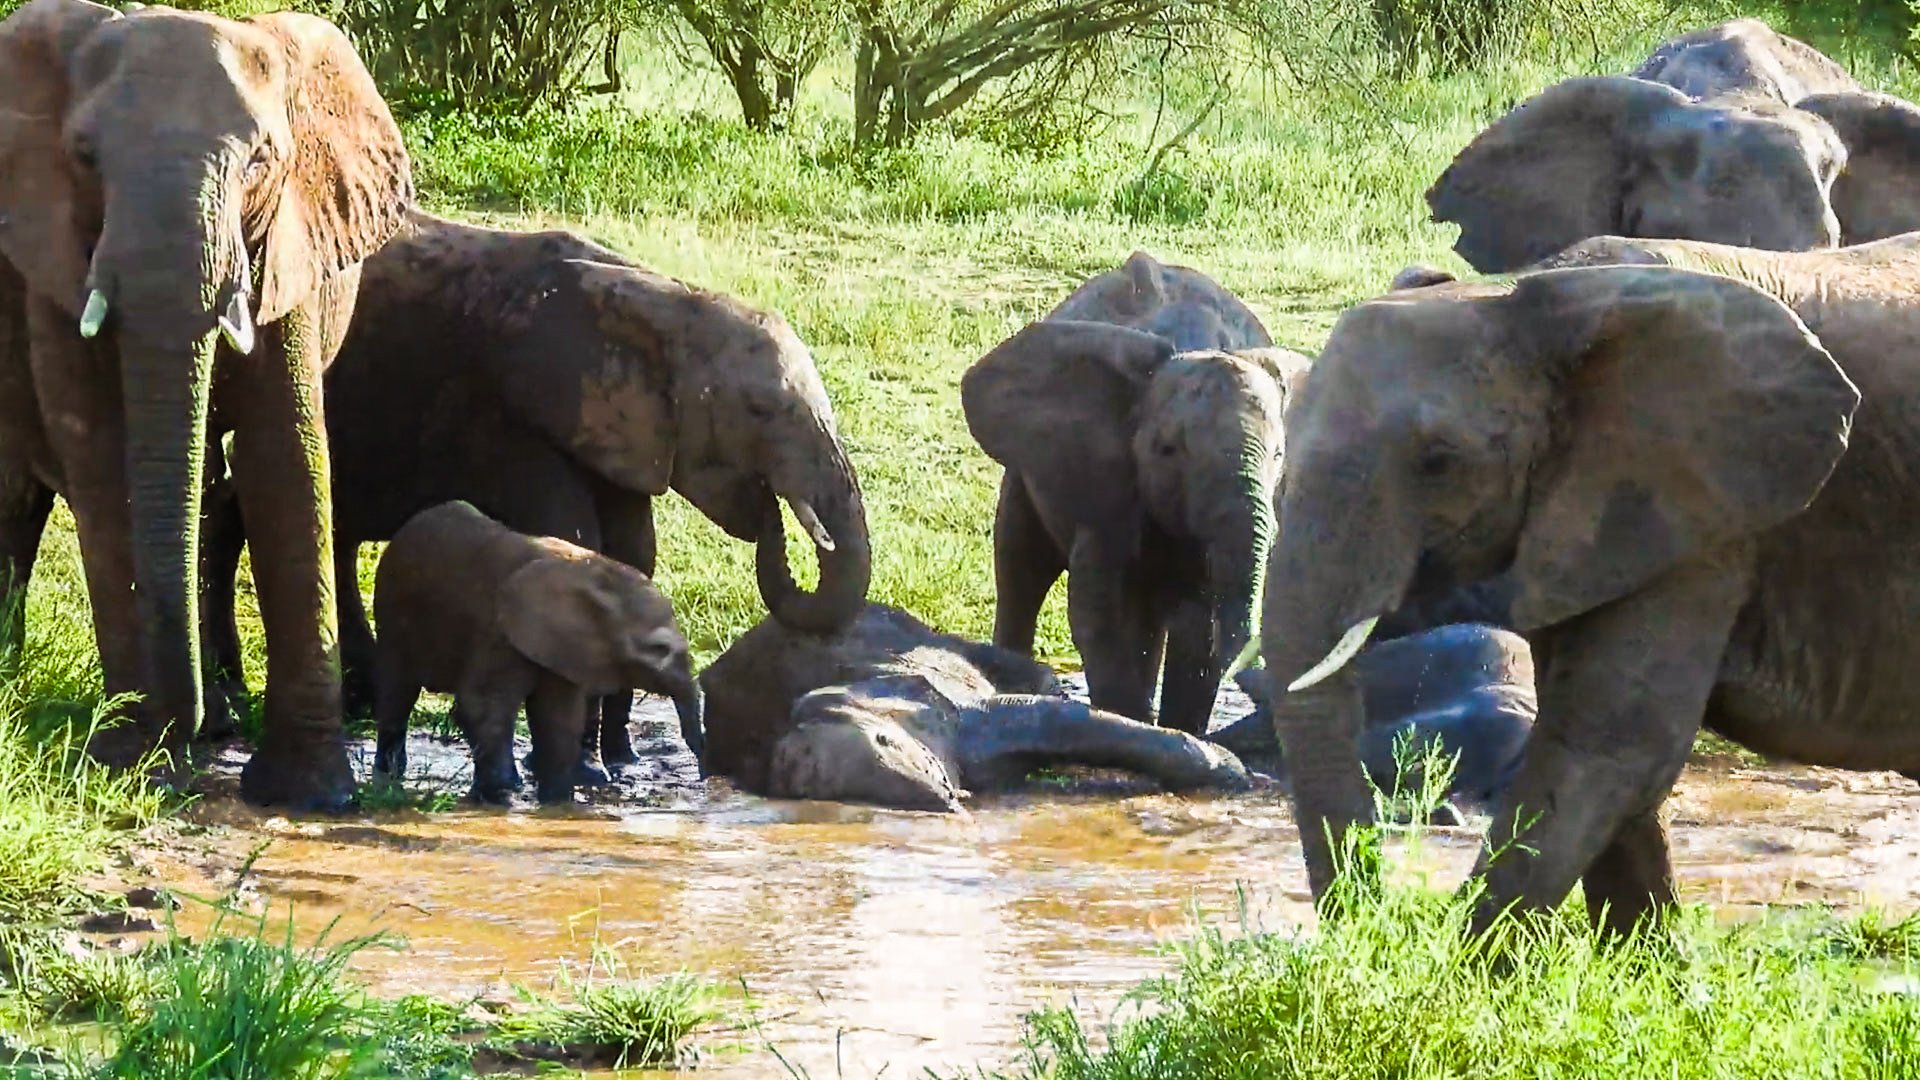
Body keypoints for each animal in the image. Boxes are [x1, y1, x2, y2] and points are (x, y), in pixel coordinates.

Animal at [0, 0, 412, 806]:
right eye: (84, 156)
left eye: (260, 160)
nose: (176, 722)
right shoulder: (54, 256)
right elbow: (102, 457)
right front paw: (134, 759)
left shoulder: (291, 243)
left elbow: (284, 454)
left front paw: (310, 794)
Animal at [371, 501, 701, 805]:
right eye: (659, 649)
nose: (702, 780)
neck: (591, 573)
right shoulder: (498, 631)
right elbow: (480, 706)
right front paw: (502, 797)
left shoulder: (564, 647)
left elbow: (558, 718)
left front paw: (558, 804)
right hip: (391, 613)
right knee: (397, 694)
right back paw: (389, 778)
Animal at [963, 318, 1311, 736]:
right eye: (1168, 450)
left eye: (1279, 455)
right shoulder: (1107, 495)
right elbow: (1102, 615)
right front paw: (1128, 722)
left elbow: (1198, 626)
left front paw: (1177, 732)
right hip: (1025, 474)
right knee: (1022, 570)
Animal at [1250, 232, 1920, 937]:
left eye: (1439, 462)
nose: (1380, 917)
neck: (1529, 294)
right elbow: (1604, 744)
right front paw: (1650, 962)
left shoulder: (1699, 511)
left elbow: (1611, 741)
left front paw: (1464, 961)